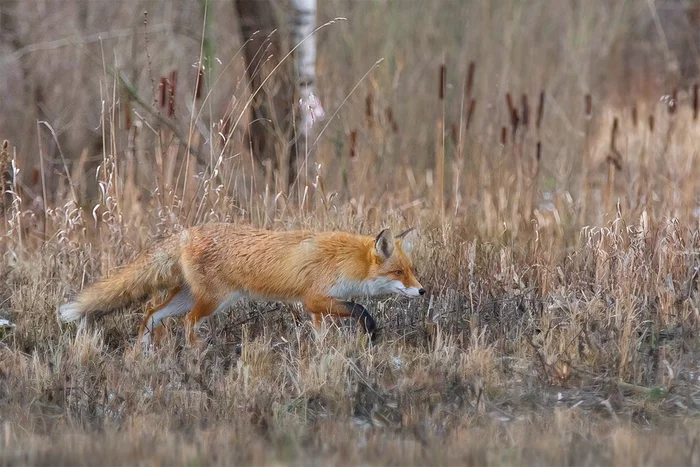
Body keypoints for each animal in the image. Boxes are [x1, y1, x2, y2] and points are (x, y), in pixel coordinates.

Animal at [58, 225, 422, 346]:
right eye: (398, 273)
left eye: (411, 271)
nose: (422, 291)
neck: (345, 260)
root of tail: (187, 232)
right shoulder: (313, 299)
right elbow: (360, 308)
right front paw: (371, 332)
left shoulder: (318, 308)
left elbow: (322, 335)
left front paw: (324, 356)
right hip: (212, 301)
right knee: (186, 323)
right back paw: (196, 353)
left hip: (188, 298)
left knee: (151, 313)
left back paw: (142, 355)